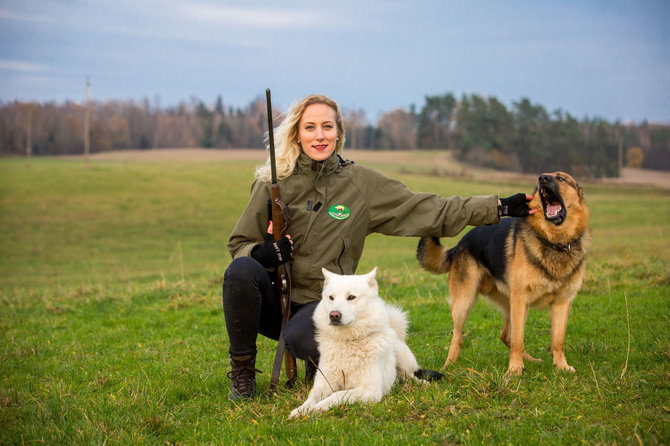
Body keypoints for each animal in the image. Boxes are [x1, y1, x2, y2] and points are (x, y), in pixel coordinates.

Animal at [288, 268, 420, 418]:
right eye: (331, 298)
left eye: (351, 297)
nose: (334, 315)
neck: (348, 342)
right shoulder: (323, 385)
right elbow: (311, 398)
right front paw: (301, 410)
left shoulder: (369, 390)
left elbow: (338, 395)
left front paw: (319, 407)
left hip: (403, 361)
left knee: (410, 376)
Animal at [420, 172, 592, 374]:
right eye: (542, 179)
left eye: (561, 178)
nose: (542, 177)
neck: (554, 242)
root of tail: (458, 245)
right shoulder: (520, 300)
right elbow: (519, 340)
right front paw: (514, 371)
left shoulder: (562, 303)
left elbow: (558, 341)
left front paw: (561, 366)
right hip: (465, 302)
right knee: (458, 336)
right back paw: (449, 366)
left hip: (509, 304)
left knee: (505, 335)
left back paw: (531, 360)